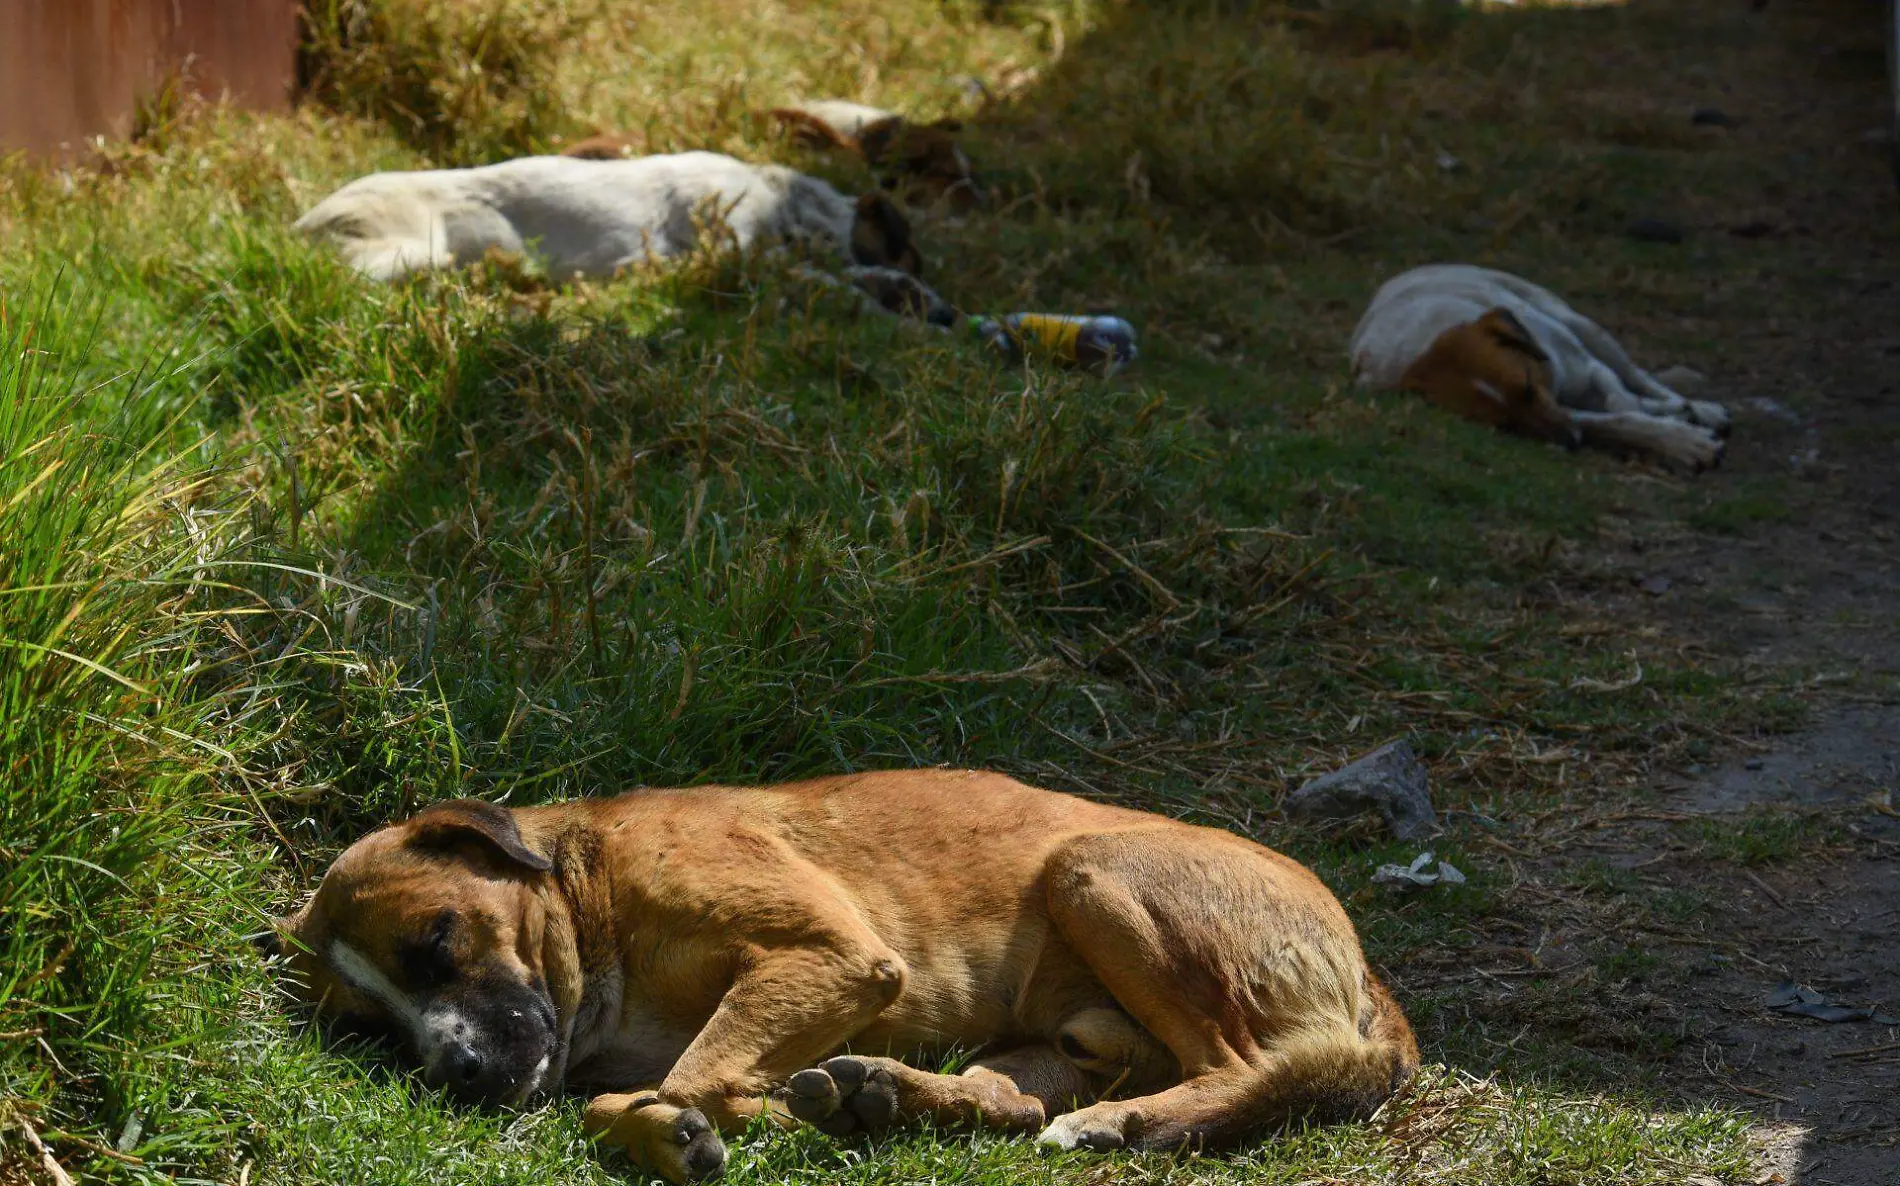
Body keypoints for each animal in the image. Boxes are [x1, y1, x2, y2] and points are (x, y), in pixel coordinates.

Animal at [275, 767, 1421, 1178]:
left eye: (436, 941)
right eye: (371, 1029)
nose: (457, 1076)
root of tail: (1372, 981)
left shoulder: (830, 955)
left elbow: (689, 1080)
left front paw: (715, 1120)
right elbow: (650, 1091)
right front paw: (693, 1123)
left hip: (1093, 872)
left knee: (1239, 1066)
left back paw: (1118, 1123)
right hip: (1055, 1028)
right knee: (1011, 1102)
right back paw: (888, 1098)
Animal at [1345, 264, 1732, 473]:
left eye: (1528, 387)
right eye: (1503, 425)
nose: (1571, 442)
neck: (1426, 339)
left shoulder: (1584, 369)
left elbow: (1623, 403)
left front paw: (1679, 430)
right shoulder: (1564, 408)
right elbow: (1611, 419)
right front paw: (1678, 441)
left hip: (1581, 326)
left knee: (1640, 380)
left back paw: (1700, 409)